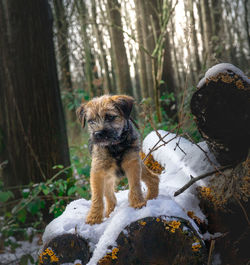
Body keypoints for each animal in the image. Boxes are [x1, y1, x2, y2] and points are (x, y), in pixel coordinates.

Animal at [75, 94, 160, 224]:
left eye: (110, 117)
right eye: (91, 121)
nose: (98, 133)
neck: (115, 146)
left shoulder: (132, 163)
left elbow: (135, 185)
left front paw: (138, 203)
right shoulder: (98, 171)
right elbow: (97, 196)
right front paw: (93, 218)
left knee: (153, 178)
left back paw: (151, 198)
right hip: (107, 178)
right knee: (111, 198)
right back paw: (109, 213)